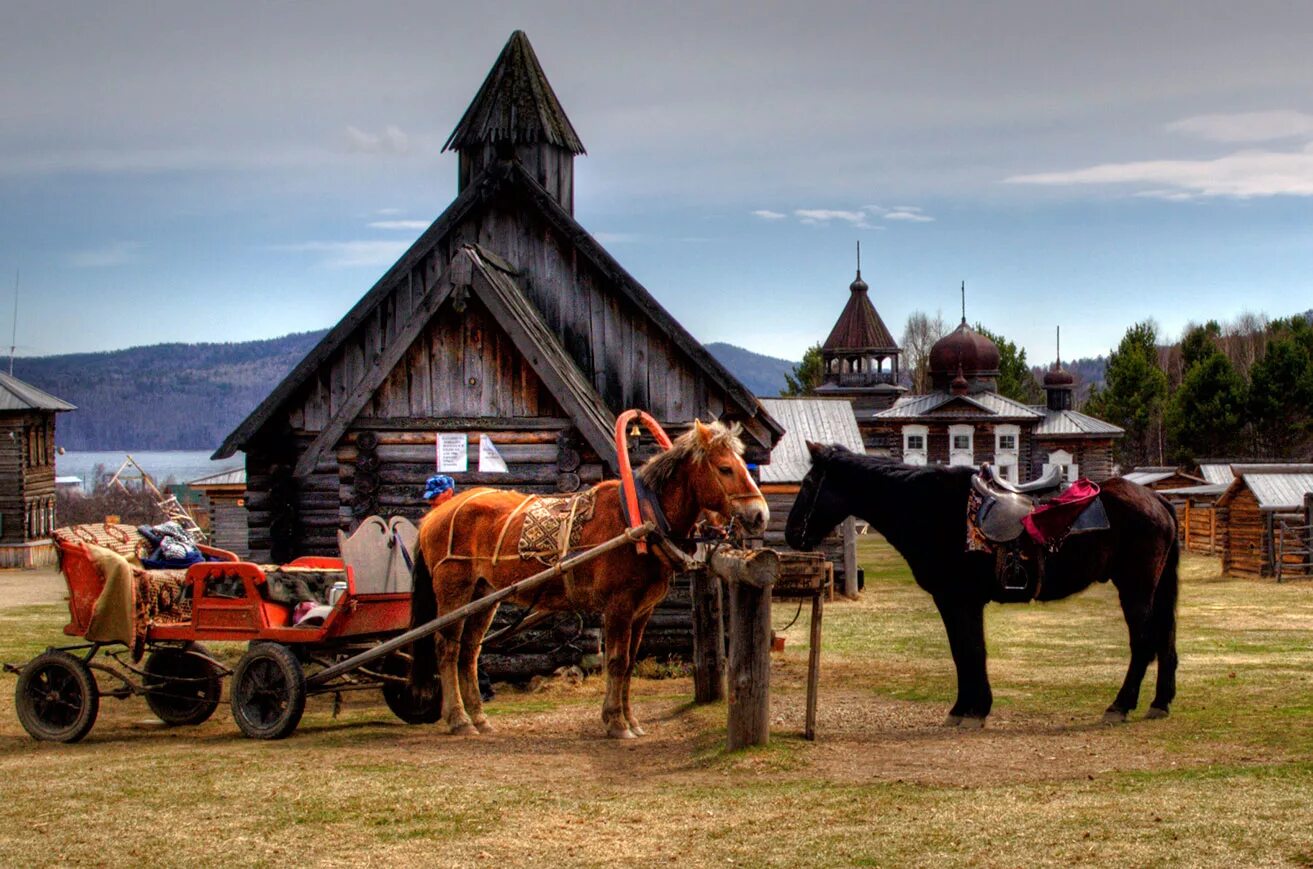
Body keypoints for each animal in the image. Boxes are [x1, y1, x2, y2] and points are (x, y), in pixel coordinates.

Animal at [404, 422, 766, 740]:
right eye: (725, 468)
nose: (760, 514)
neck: (639, 520)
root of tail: (434, 515)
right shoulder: (619, 606)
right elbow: (617, 662)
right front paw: (616, 723)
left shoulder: (642, 611)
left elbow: (630, 663)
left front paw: (629, 720)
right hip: (454, 590)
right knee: (447, 649)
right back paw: (459, 718)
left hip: (484, 596)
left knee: (469, 652)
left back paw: (479, 717)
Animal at [777, 443, 1181, 729]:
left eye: (809, 483)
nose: (792, 534)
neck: (930, 508)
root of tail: (1158, 500)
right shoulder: (961, 602)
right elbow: (969, 651)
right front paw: (971, 708)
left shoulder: (957, 600)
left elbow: (967, 650)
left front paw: (969, 710)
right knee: (1165, 641)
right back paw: (1159, 703)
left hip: (1135, 588)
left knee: (1143, 643)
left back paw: (1120, 705)